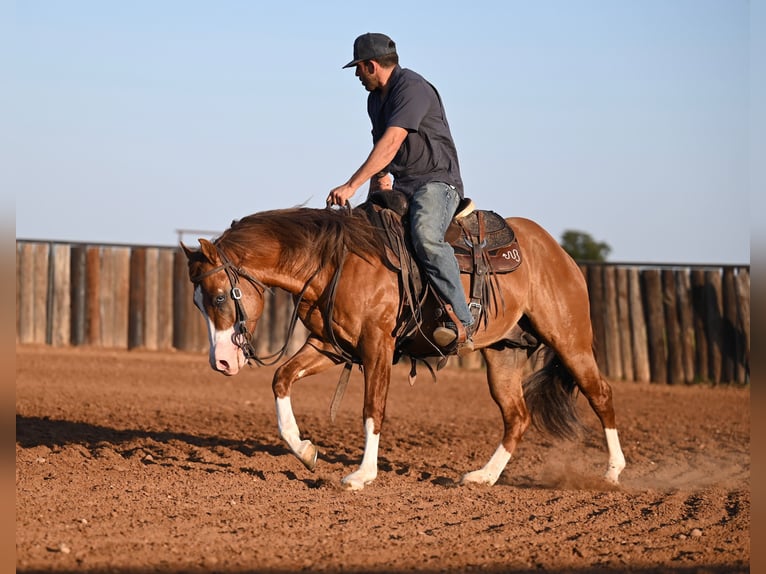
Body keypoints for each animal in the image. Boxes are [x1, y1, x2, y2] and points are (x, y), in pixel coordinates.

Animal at [183, 205, 628, 492]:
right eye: (198, 303)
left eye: (220, 297)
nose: (221, 361)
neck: (334, 261)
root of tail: (556, 251)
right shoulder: (330, 346)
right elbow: (281, 378)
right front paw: (305, 451)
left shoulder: (377, 345)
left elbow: (372, 409)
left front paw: (361, 476)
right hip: (503, 353)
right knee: (517, 416)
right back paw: (483, 477)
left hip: (569, 339)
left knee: (602, 395)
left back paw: (611, 473)